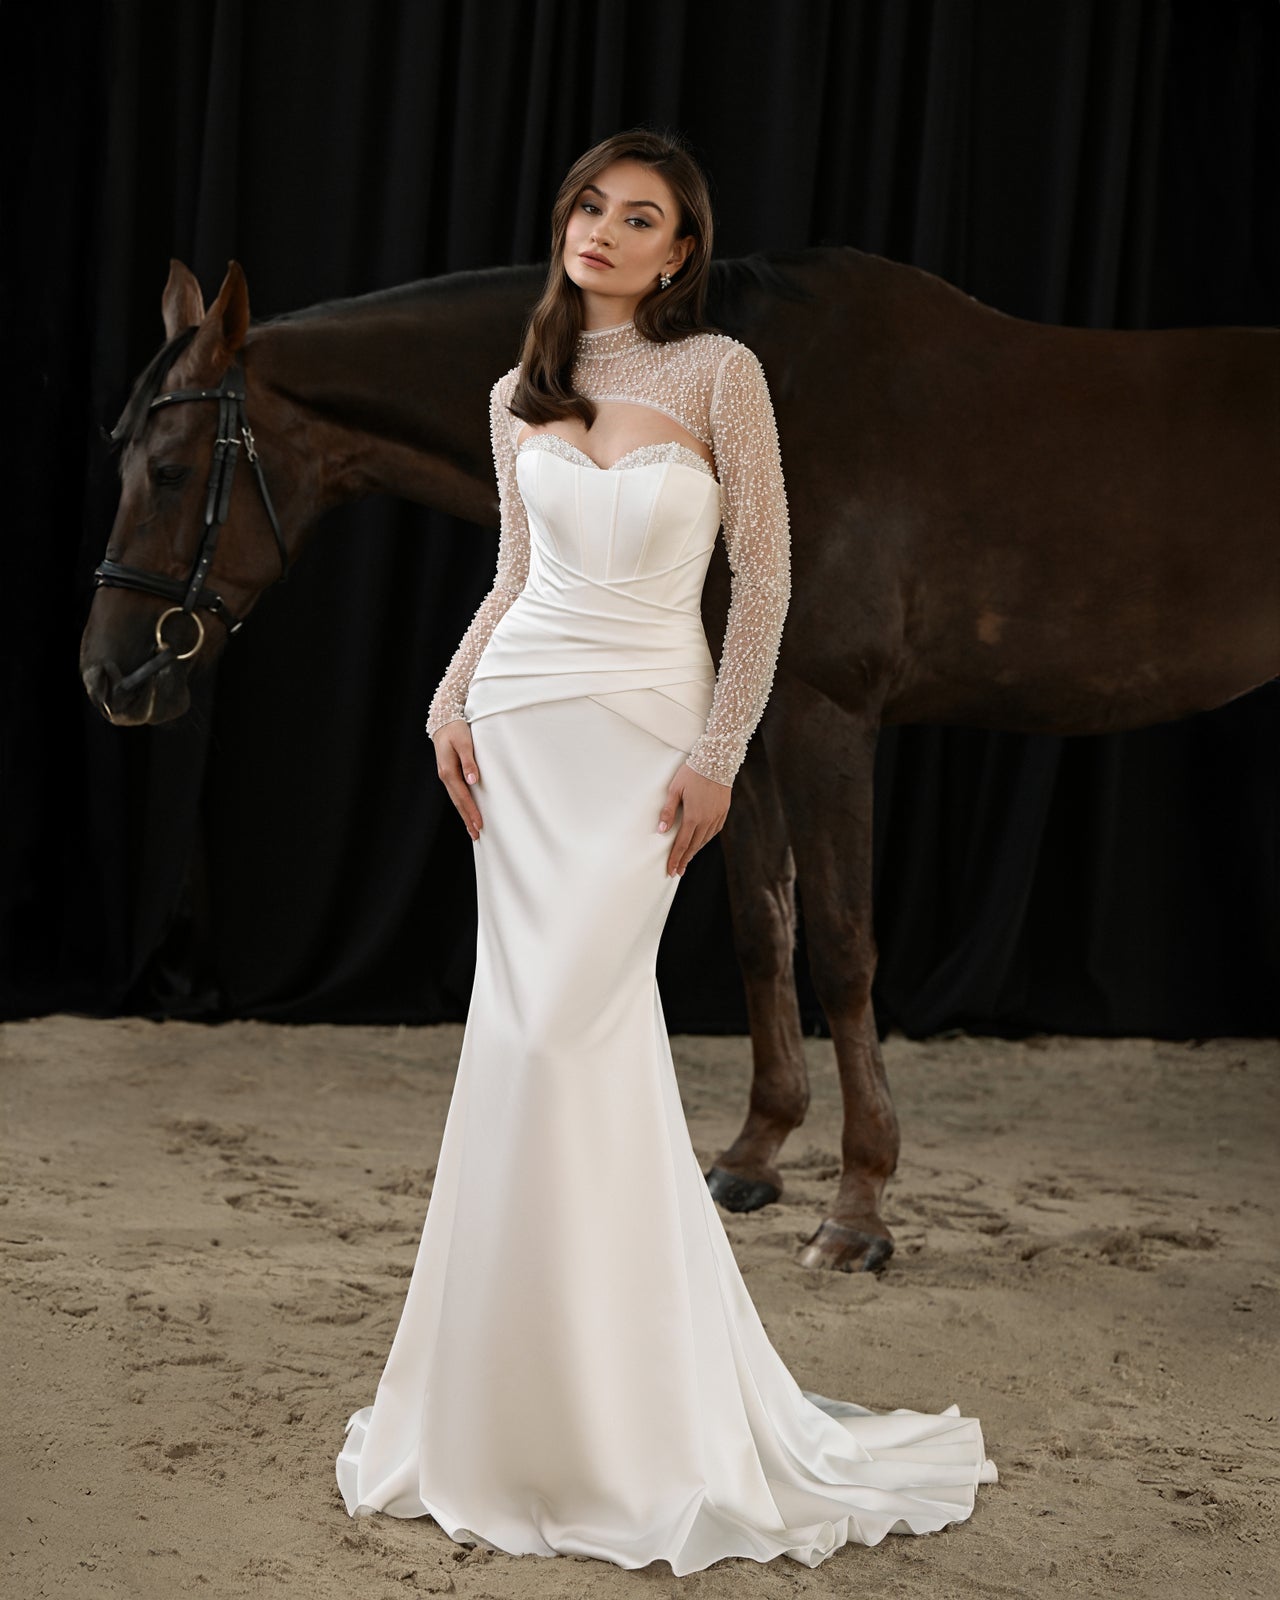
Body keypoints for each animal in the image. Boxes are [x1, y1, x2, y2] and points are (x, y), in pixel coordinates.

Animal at [81, 250, 1279, 1271]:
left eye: (171, 469)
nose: (109, 677)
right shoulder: (736, 723)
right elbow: (761, 927)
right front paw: (753, 1158)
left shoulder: (824, 715)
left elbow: (842, 951)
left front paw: (858, 1208)